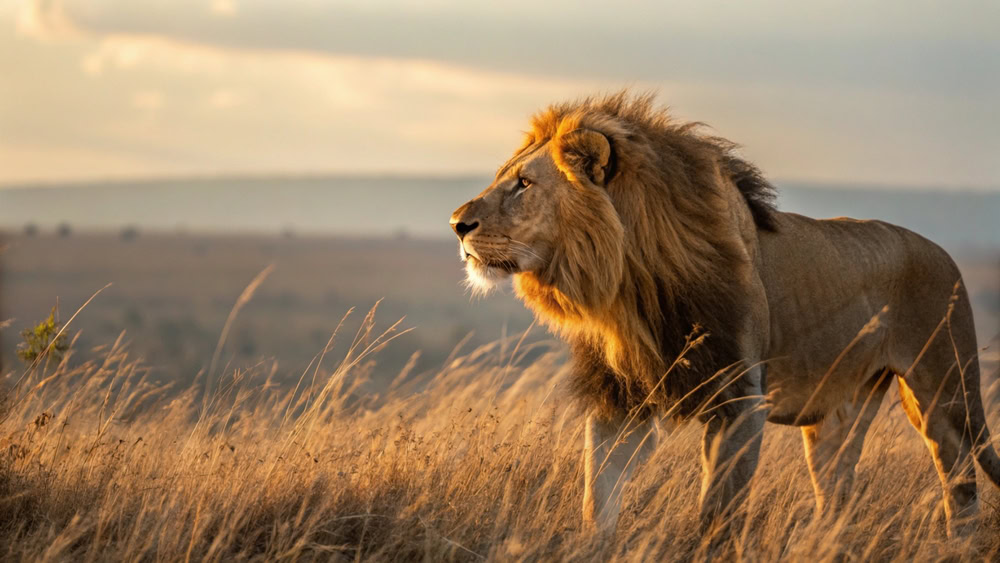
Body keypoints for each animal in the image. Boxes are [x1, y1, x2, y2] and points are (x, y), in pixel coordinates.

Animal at [449, 91, 1000, 536]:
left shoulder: (739, 401)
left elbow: (716, 514)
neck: (629, 285)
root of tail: (942, 252)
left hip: (946, 394)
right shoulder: (620, 400)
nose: (456, 223)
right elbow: (597, 496)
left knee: (961, 486)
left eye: (524, 184)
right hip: (837, 414)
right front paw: (593, 544)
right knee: (837, 497)